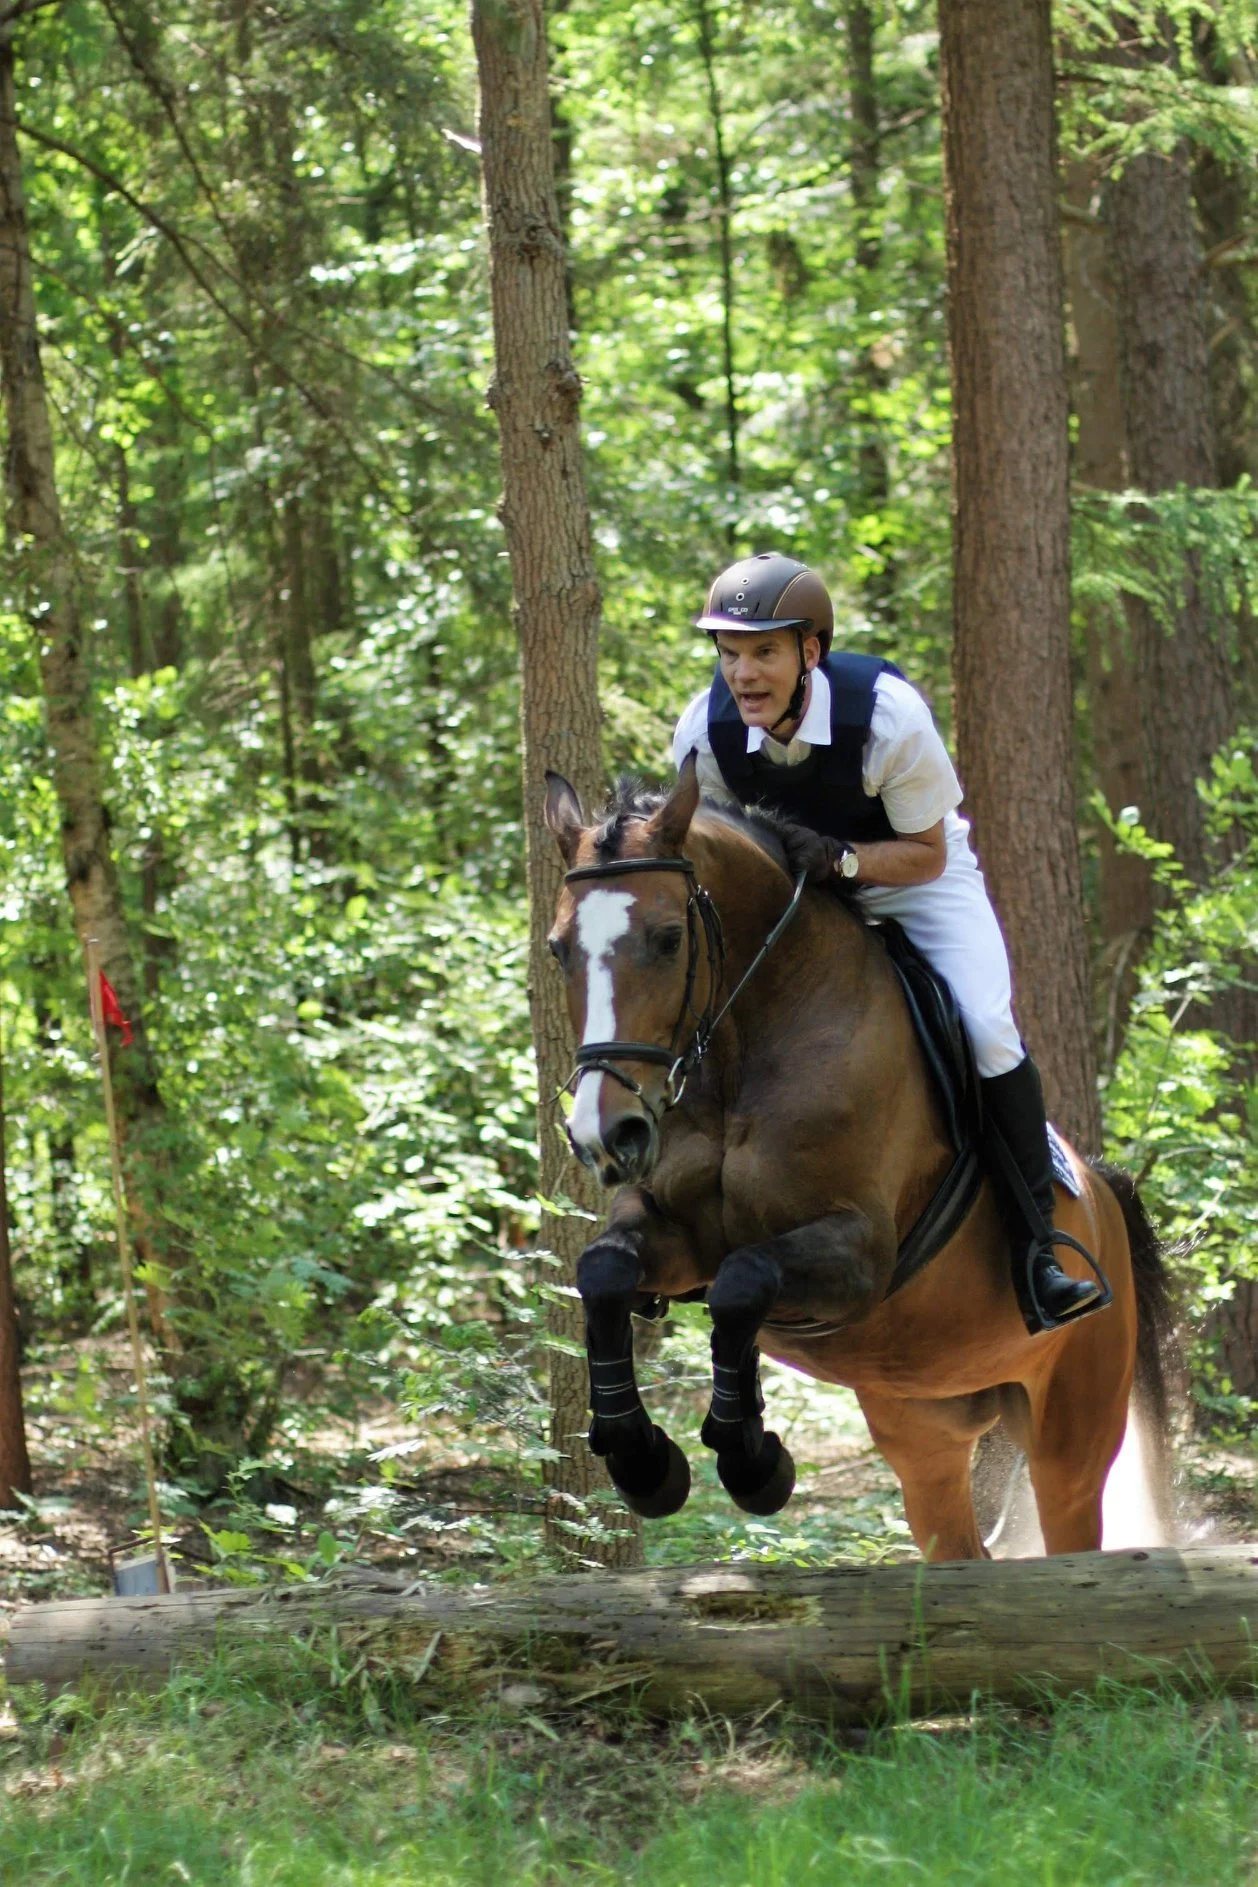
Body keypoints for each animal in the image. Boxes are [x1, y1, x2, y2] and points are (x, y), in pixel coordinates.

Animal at [543, 757, 1175, 1561]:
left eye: (666, 939)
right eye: (558, 947)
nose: (607, 1134)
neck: (746, 1047)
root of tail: (1101, 1190)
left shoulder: (863, 1253)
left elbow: (744, 1281)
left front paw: (753, 1462)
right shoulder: (674, 1232)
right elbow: (606, 1271)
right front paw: (644, 1461)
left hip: (1070, 1433)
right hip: (923, 1423)